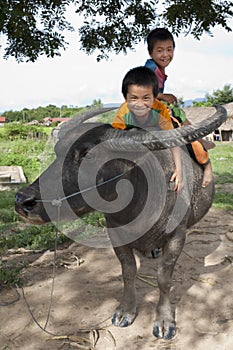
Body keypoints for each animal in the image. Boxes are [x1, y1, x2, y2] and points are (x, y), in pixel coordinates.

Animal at [14, 104, 226, 340]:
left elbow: (163, 277)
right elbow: (128, 271)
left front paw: (164, 321)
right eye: (58, 152)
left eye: (87, 154)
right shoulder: (115, 233)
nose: (23, 200)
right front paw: (126, 311)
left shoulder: (177, 236)